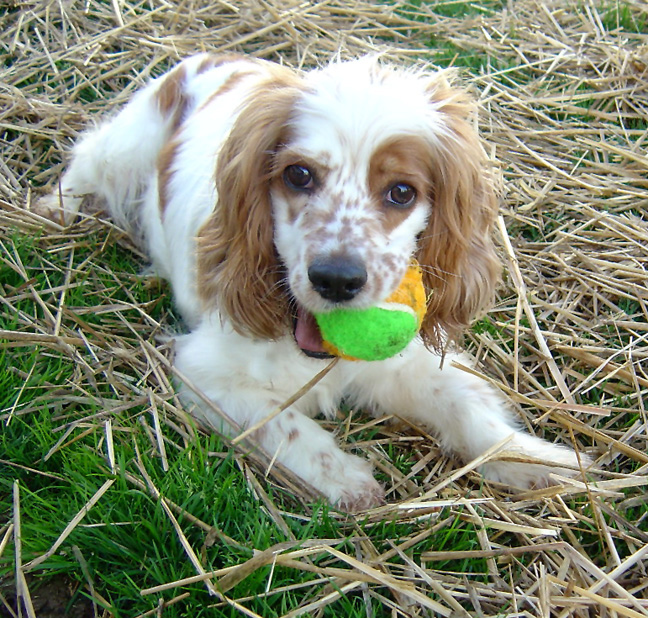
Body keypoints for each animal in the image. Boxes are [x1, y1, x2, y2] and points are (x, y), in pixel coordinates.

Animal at [40, 53, 584, 508]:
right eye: (298, 175)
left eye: (402, 192)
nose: (336, 280)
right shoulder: (204, 372)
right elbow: (280, 423)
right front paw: (344, 477)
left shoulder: (403, 364)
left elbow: (466, 405)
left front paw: (534, 458)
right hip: (123, 147)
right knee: (85, 165)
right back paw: (55, 210)